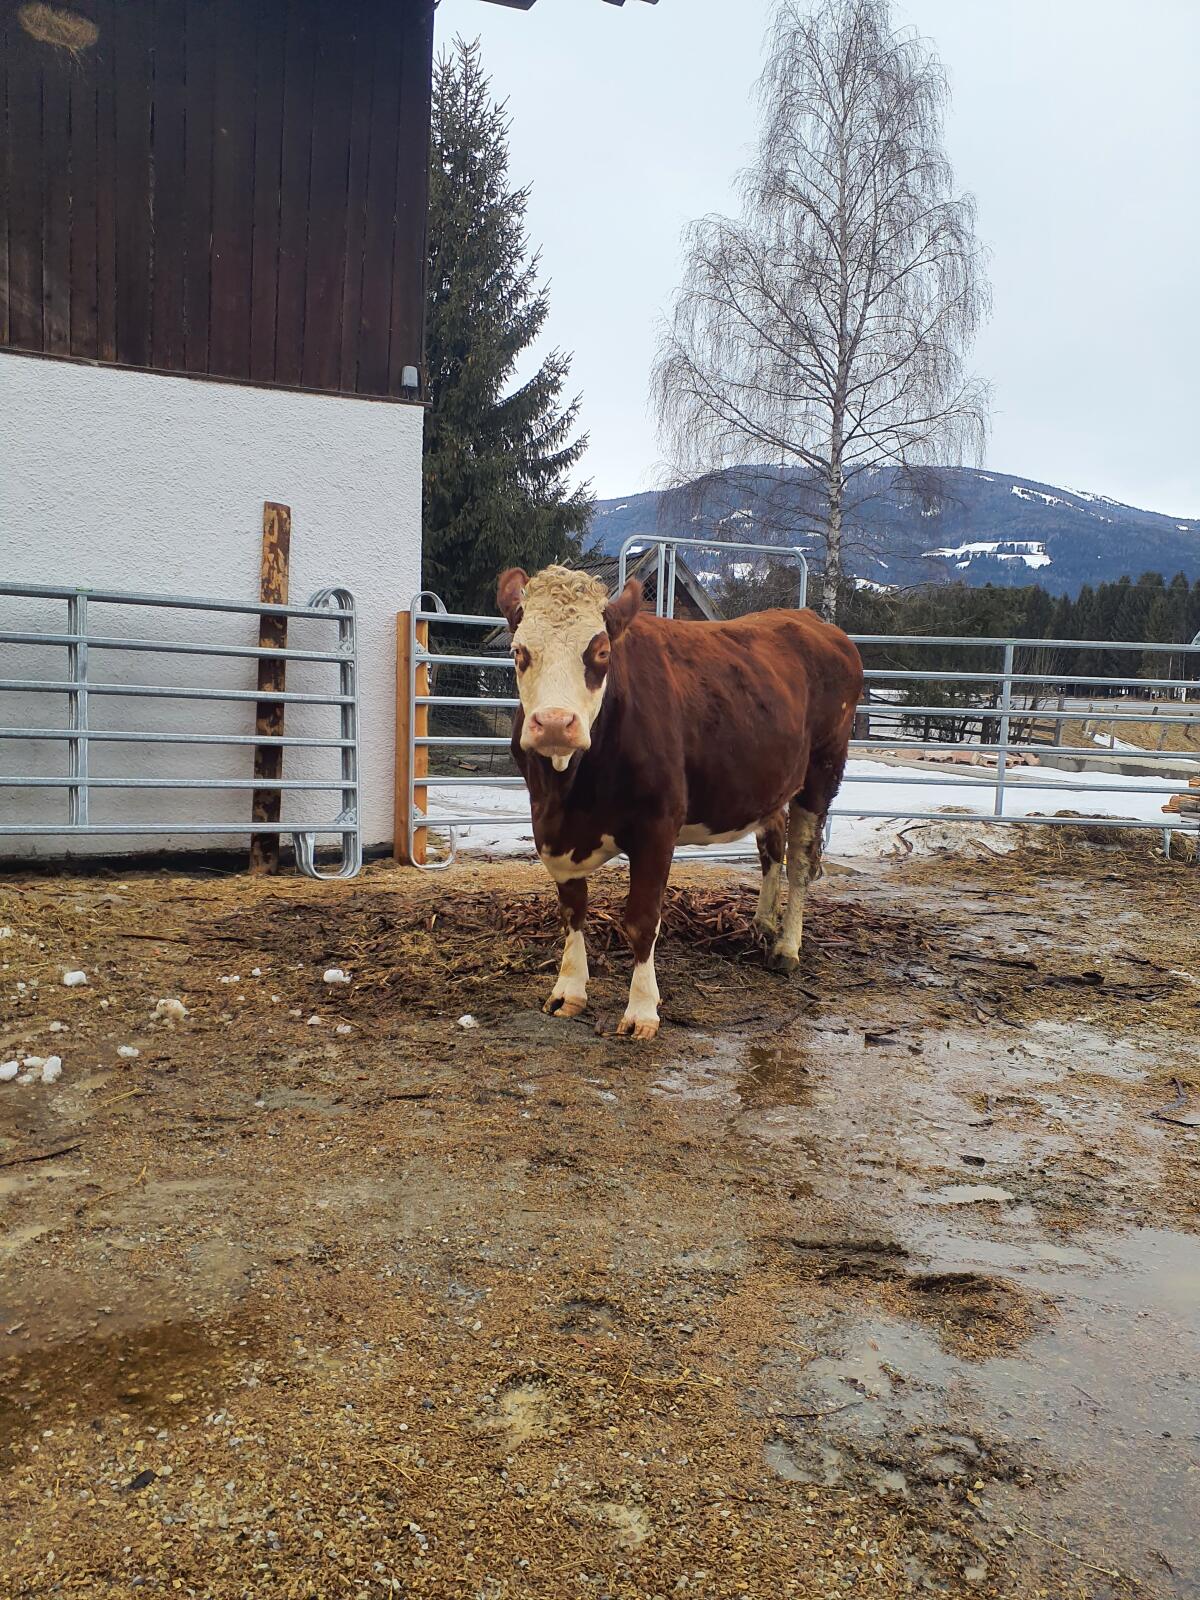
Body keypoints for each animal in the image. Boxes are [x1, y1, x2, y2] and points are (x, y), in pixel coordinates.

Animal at [497, 564, 863, 1040]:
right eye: (518, 651)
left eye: (601, 653)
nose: (556, 723)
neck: (570, 793)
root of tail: (811, 619)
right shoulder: (549, 826)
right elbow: (573, 910)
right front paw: (569, 990)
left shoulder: (657, 826)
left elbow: (642, 920)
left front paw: (642, 1010)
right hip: (770, 782)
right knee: (771, 848)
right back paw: (763, 922)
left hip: (822, 772)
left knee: (801, 860)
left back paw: (786, 947)